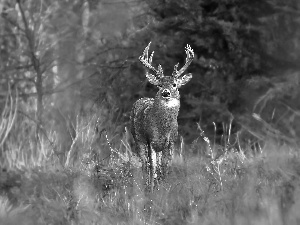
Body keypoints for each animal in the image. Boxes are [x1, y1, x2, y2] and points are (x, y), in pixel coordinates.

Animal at [131, 41, 195, 191]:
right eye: (159, 85)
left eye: (175, 84)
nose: (166, 93)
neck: (163, 129)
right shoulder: (151, 140)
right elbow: (152, 166)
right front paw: (152, 188)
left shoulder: (170, 142)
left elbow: (165, 166)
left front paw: (165, 187)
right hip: (138, 138)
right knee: (144, 164)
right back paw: (145, 184)